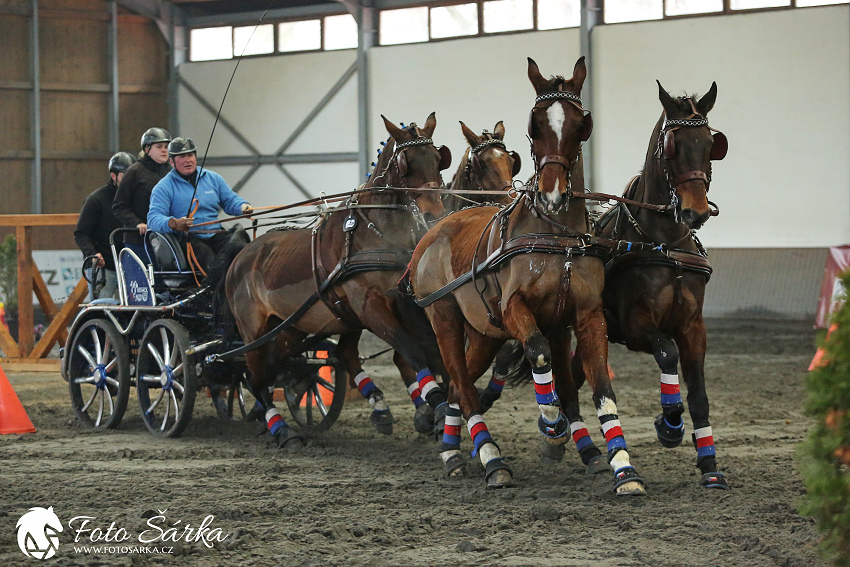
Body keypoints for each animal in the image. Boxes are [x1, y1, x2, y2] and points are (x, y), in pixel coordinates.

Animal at [222, 112, 454, 448]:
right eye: (406, 163)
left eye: (438, 159)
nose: (434, 213)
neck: (375, 233)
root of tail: (240, 257)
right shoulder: (368, 306)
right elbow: (411, 349)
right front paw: (436, 404)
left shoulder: (402, 301)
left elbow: (429, 349)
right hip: (254, 330)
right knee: (254, 377)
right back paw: (282, 429)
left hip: (291, 328)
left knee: (283, 367)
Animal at [404, 56, 644, 492]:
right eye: (535, 124)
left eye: (580, 123)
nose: (552, 192)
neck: (556, 235)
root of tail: (432, 231)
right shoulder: (515, 309)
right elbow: (539, 353)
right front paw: (553, 426)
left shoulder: (586, 316)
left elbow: (602, 387)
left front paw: (623, 467)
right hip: (444, 317)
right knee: (461, 382)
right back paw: (490, 458)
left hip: (484, 332)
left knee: (457, 384)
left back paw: (451, 451)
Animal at [568, 80, 728, 488]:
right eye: (672, 145)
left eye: (711, 143)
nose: (695, 212)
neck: (665, 242)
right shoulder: (634, 325)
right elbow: (667, 352)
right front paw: (668, 425)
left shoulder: (693, 326)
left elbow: (699, 394)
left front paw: (710, 465)